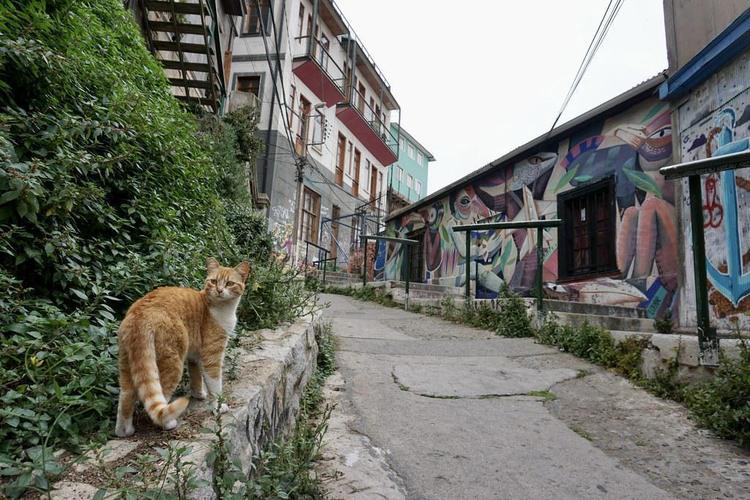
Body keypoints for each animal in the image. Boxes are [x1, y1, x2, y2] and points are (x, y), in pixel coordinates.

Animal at [114, 258, 250, 437]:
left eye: (229, 283)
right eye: (213, 281)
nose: (219, 290)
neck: (220, 308)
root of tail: (141, 314)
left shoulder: (194, 355)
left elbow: (196, 376)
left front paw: (199, 394)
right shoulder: (212, 355)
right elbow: (215, 384)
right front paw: (219, 406)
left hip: (127, 364)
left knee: (126, 397)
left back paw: (124, 431)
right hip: (172, 365)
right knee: (161, 400)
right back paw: (168, 423)